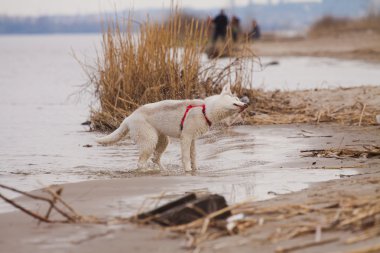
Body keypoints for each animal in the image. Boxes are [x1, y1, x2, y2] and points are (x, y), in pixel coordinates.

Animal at [96, 84, 248, 171]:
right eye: (236, 100)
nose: (246, 104)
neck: (205, 109)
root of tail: (128, 118)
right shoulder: (186, 137)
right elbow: (186, 157)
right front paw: (187, 171)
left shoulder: (192, 139)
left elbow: (193, 156)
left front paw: (196, 170)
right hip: (150, 139)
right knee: (141, 162)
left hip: (163, 140)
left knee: (155, 158)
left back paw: (163, 171)